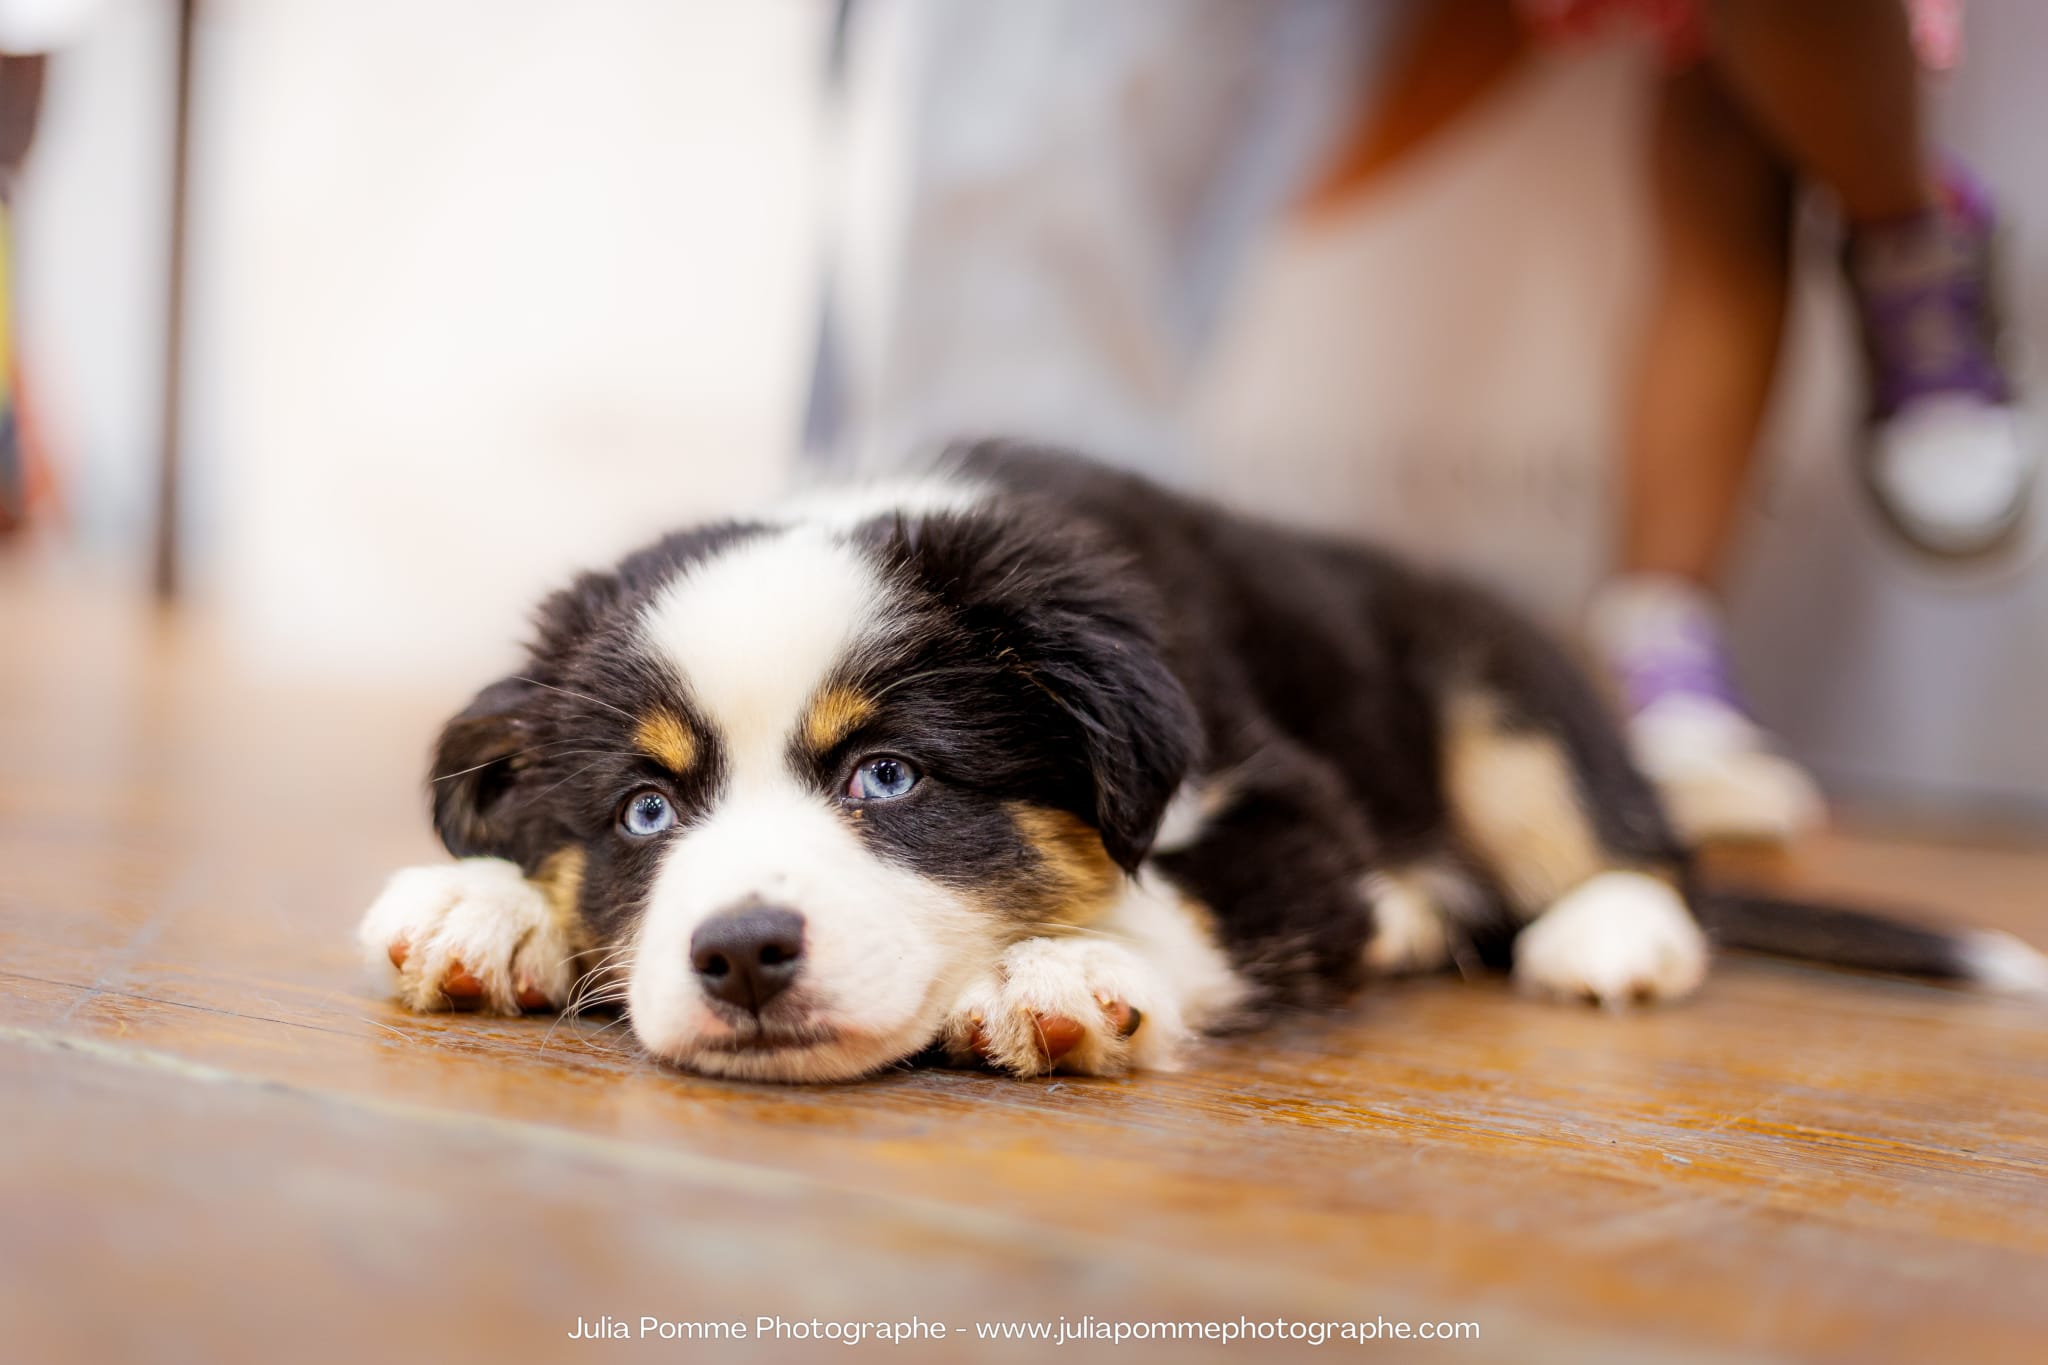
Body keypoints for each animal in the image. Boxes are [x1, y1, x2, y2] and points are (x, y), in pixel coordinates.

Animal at [360, 444, 2039, 1080]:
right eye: (645, 808)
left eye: (889, 779)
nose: (743, 954)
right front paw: (478, 905)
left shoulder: (1287, 797)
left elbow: (1182, 898)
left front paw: (1057, 974)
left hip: (1491, 685)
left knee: (1632, 846)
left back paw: (1606, 934)